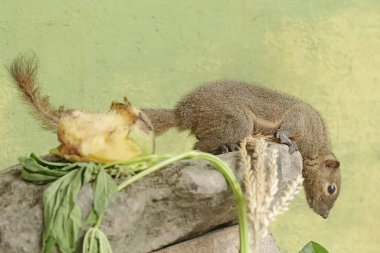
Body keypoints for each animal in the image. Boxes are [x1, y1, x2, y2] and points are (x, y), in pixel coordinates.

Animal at [9, 55, 342, 219]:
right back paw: (226, 147)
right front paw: (285, 140)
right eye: (331, 189)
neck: (317, 141)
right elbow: (287, 129)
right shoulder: (300, 118)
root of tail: (184, 112)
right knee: (200, 144)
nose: (325, 216)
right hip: (238, 121)